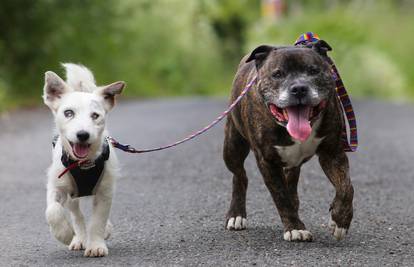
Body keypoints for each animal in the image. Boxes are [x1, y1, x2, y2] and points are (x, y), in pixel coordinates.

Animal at [44, 63, 124, 258]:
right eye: (68, 113)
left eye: (95, 115)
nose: (82, 134)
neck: (83, 164)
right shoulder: (57, 186)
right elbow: (53, 211)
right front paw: (64, 234)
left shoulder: (105, 192)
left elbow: (98, 220)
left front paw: (96, 245)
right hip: (72, 195)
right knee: (76, 214)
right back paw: (78, 238)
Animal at [225, 40, 354, 243]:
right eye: (277, 74)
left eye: (313, 71)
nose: (299, 88)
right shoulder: (267, 161)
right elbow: (281, 196)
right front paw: (295, 228)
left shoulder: (333, 153)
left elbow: (346, 187)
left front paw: (340, 220)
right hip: (232, 147)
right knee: (240, 176)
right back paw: (236, 214)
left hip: (292, 163)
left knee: (291, 181)